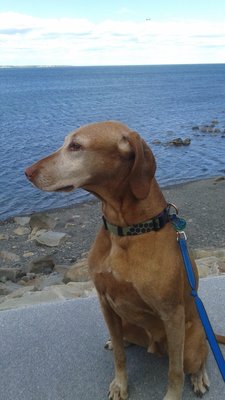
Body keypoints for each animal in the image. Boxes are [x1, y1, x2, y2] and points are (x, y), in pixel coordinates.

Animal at [24, 121, 216, 400]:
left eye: (76, 146)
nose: (27, 172)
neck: (125, 230)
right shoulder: (105, 303)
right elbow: (119, 355)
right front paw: (120, 384)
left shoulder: (172, 314)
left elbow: (174, 371)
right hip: (124, 322)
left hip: (190, 341)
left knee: (199, 357)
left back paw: (200, 375)